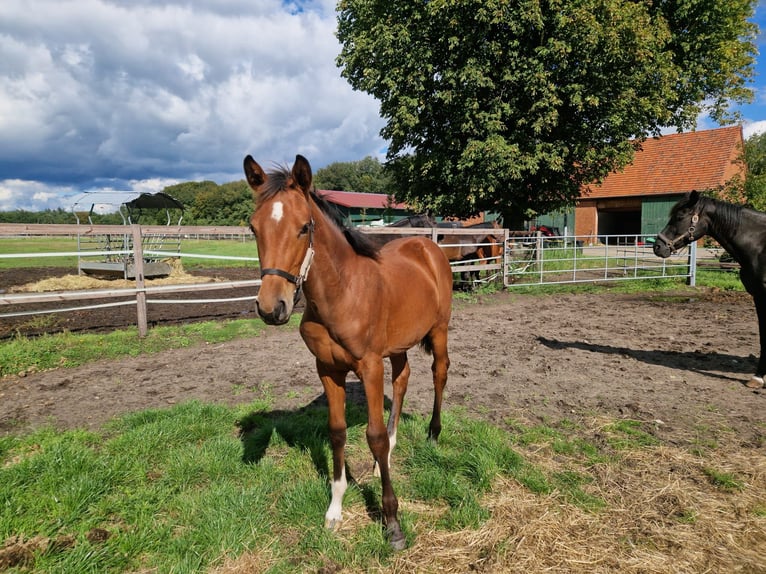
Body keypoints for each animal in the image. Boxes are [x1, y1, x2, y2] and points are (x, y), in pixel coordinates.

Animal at [243, 155, 452, 552]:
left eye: (304, 227)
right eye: (252, 227)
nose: (271, 308)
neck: (342, 292)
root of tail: (428, 247)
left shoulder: (368, 367)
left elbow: (373, 434)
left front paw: (392, 523)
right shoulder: (327, 368)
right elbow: (337, 432)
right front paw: (335, 509)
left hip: (439, 330)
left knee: (439, 372)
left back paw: (434, 434)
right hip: (397, 345)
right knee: (402, 379)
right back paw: (388, 456)